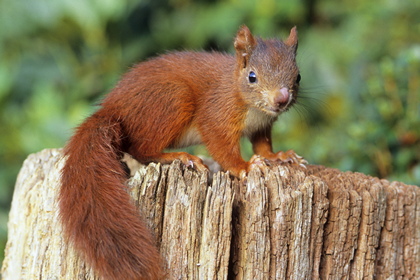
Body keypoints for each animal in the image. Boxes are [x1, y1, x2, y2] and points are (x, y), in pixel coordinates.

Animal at [59, 25, 306, 278]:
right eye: (252, 77)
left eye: (297, 76)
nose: (281, 99)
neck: (252, 107)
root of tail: (112, 109)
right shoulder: (216, 114)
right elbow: (222, 147)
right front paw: (244, 166)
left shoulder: (262, 126)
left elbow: (262, 145)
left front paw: (279, 157)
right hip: (174, 99)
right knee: (139, 150)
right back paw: (179, 157)